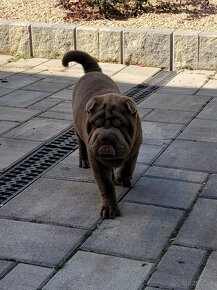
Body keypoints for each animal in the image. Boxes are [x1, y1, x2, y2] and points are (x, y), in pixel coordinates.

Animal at [62, 50, 142, 218]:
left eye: (121, 126)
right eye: (95, 125)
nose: (105, 137)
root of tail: (92, 71)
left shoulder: (135, 147)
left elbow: (128, 166)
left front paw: (123, 178)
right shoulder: (97, 161)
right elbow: (105, 185)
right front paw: (110, 208)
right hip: (78, 132)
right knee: (81, 145)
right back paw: (83, 161)